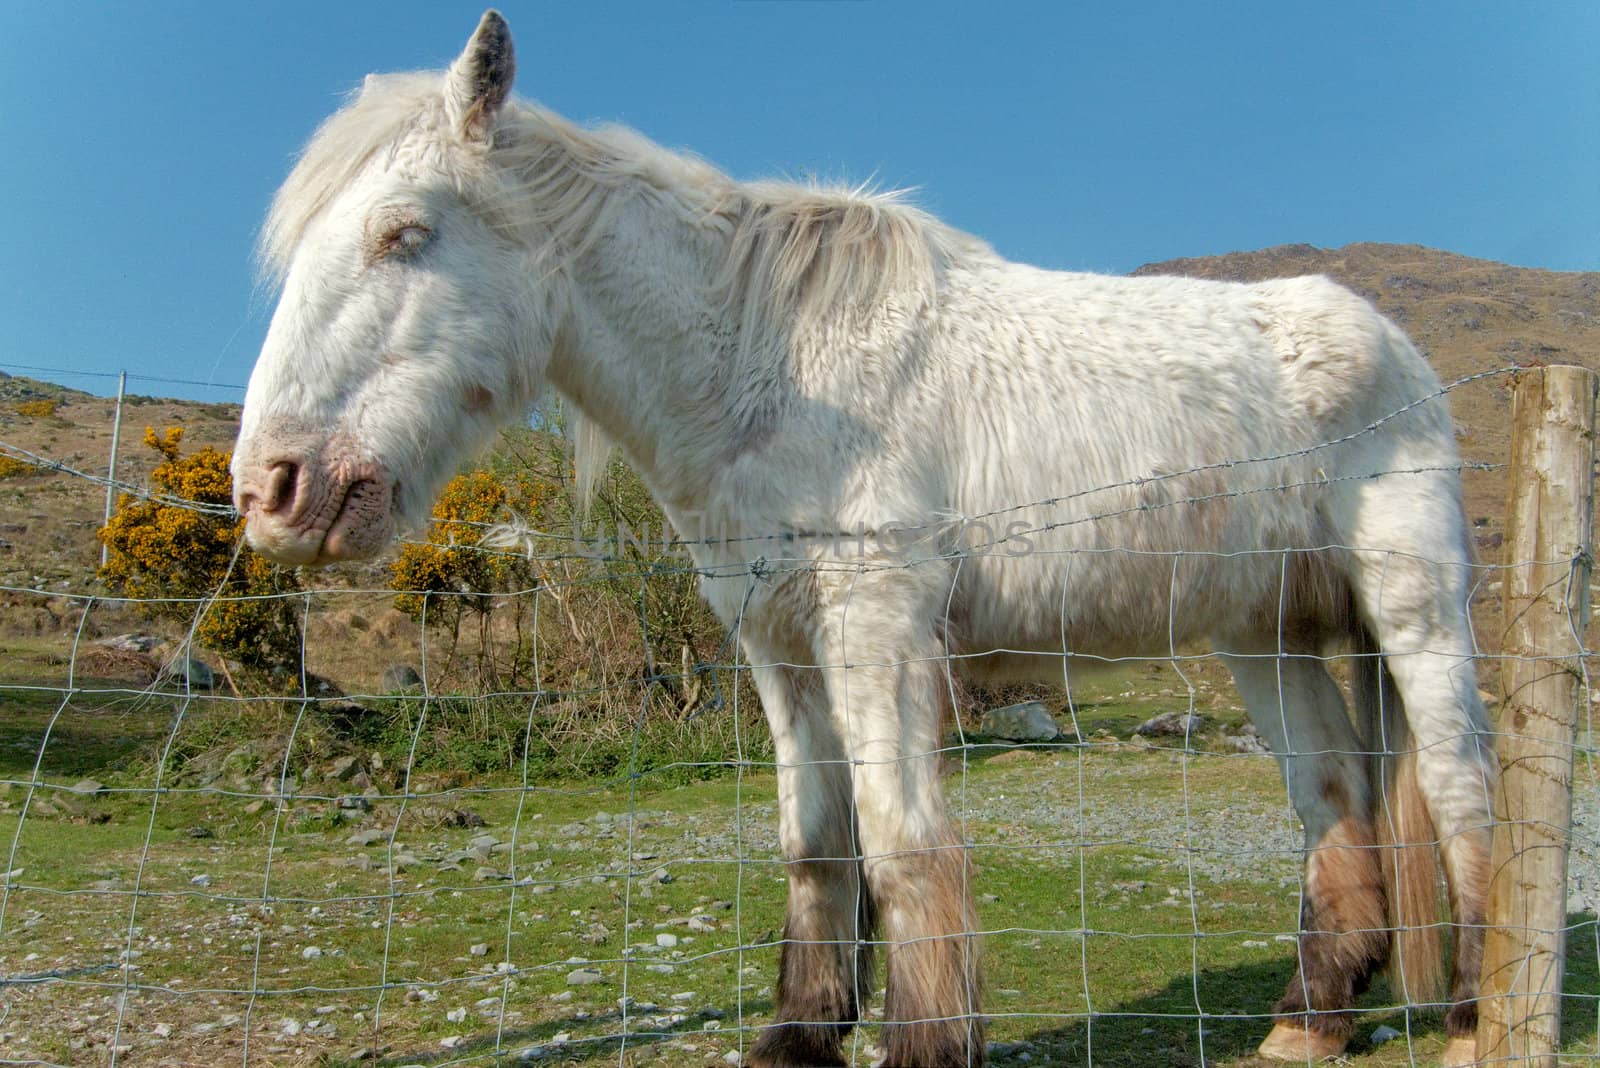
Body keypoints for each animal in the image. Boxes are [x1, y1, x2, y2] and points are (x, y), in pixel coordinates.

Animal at [232, 12, 1491, 1061]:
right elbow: (817, 844)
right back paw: (1309, 1021)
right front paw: (799, 1034)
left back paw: (1476, 1014)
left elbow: (903, 846)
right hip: (1263, 634)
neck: (765, 362)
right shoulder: (781, 649)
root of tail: (1386, 339)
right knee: (1332, 799)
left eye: (404, 233)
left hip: (1412, 608)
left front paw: (924, 1044)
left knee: (1463, 787)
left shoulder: (876, 630)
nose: (272, 490)